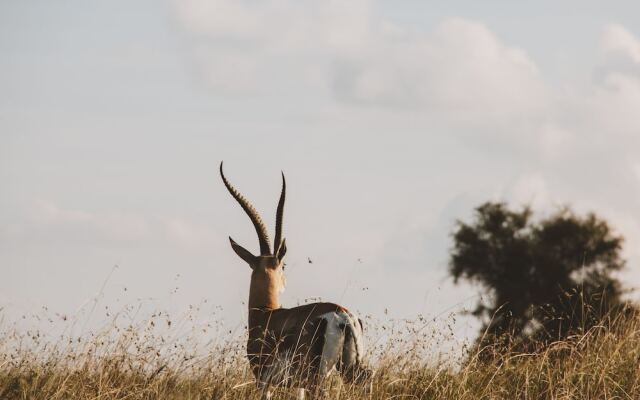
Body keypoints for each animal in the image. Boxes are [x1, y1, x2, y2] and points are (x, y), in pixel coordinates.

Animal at [220, 162, 370, 396]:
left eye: (284, 265)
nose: (284, 284)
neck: (265, 315)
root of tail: (342, 315)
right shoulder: (296, 386)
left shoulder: (263, 381)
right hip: (348, 370)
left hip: (317, 376)